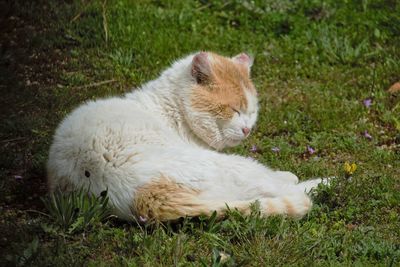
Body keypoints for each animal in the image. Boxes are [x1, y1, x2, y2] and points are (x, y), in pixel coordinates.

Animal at [47, 51, 324, 222]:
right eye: (234, 110)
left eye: (252, 112)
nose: (247, 129)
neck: (171, 110)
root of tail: (144, 198)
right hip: (234, 166)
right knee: (285, 189)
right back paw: (323, 182)